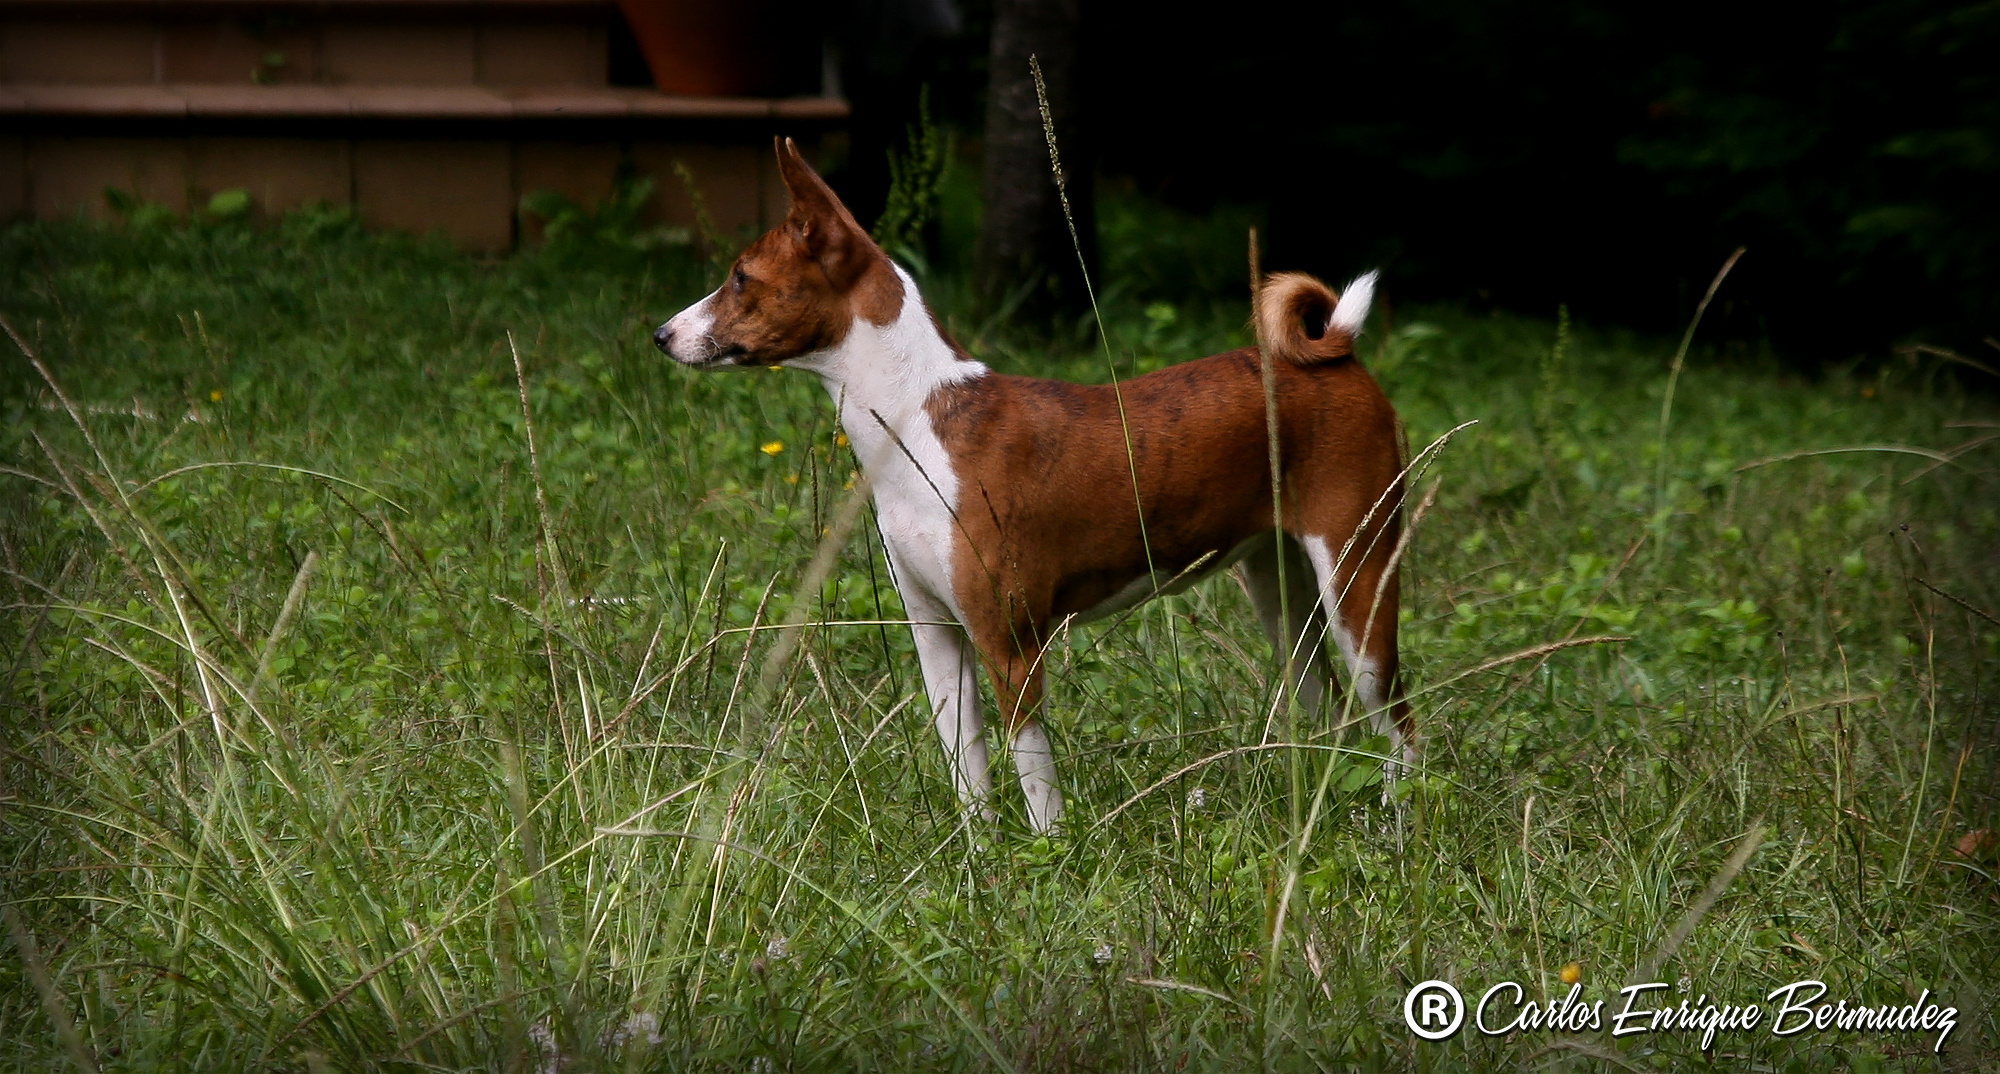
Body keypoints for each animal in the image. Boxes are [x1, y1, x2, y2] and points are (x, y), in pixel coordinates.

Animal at [656, 140, 1408, 828]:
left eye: (741, 278)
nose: (661, 334)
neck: (916, 419)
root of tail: (1340, 359)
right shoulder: (938, 637)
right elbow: (970, 780)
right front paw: (980, 871)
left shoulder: (1012, 647)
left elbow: (1038, 792)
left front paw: (1047, 869)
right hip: (1285, 602)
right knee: (1334, 714)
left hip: (1358, 583)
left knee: (1400, 726)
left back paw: (1397, 828)